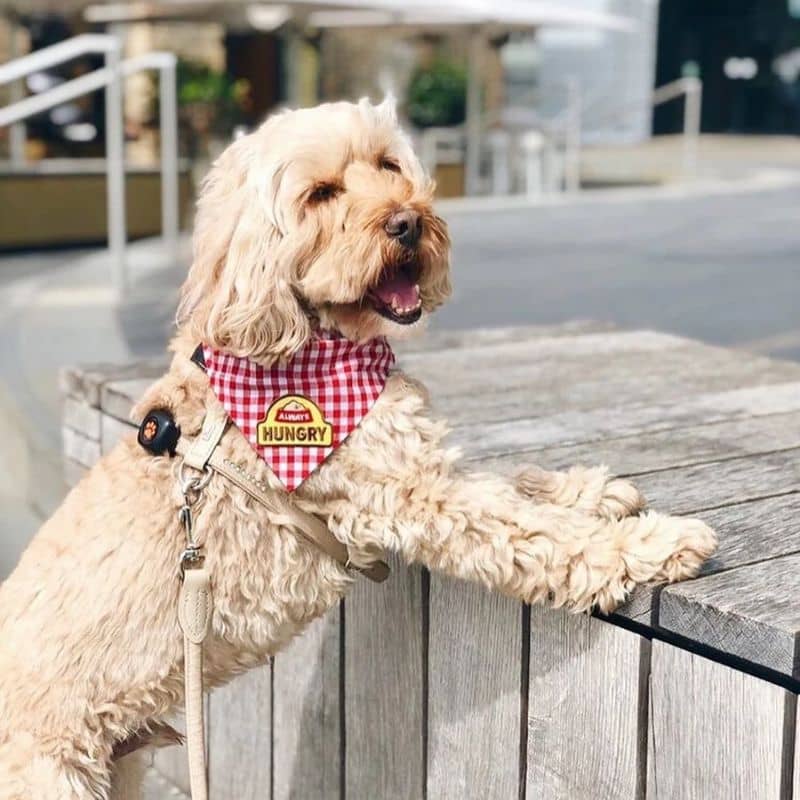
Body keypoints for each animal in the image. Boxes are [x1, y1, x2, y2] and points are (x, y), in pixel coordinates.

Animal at [0, 100, 720, 800]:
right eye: (319, 194)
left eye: (388, 165)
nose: (408, 223)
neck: (310, 345)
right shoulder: (411, 495)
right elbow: (534, 531)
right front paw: (655, 543)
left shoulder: (417, 463)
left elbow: (515, 485)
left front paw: (591, 491)